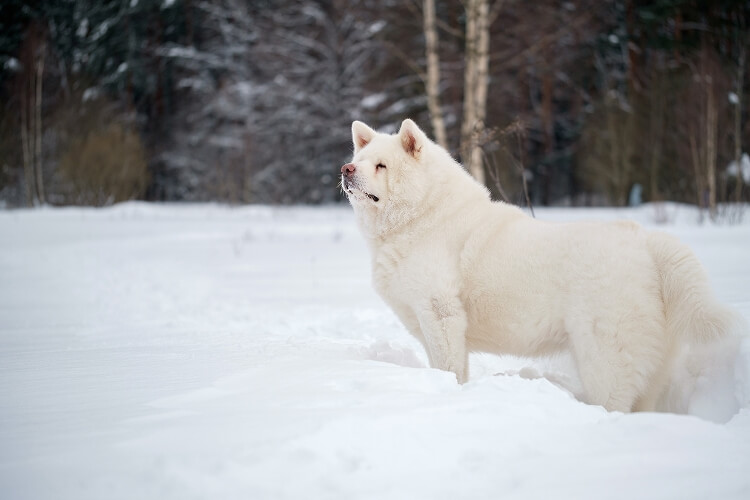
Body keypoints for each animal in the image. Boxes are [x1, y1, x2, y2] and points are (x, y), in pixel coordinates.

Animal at [342, 119, 740, 412]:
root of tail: (647, 242)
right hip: (654, 362)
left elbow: (449, 367)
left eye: (382, 166)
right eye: (360, 159)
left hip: (605, 357)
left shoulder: (440, 315)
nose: (346, 169)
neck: (422, 214)